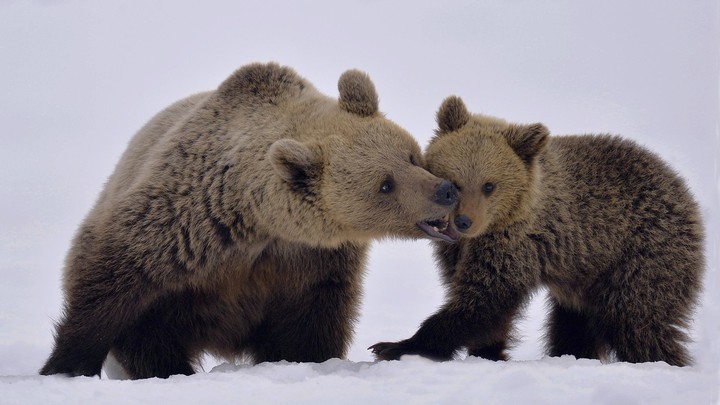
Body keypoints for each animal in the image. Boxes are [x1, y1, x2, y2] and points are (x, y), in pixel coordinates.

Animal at [39, 62, 460, 379]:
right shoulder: (180, 226)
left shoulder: (310, 261)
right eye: (385, 184)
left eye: (410, 156)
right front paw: (64, 366)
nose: (446, 191)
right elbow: (110, 288)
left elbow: (312, 322)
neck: (258, 225)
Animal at [370, 96, 705, 367]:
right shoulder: (459, 250)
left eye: (489, 185)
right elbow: (482, 303)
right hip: (582, 280)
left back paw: (660, 360)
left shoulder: (514, 244)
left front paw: (394, 346)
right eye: (455, 181)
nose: (465, 221)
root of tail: (684, 190)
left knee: (636, 320)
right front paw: (489, 352)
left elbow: (483, 299)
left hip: (639, 254)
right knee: (574, 325)